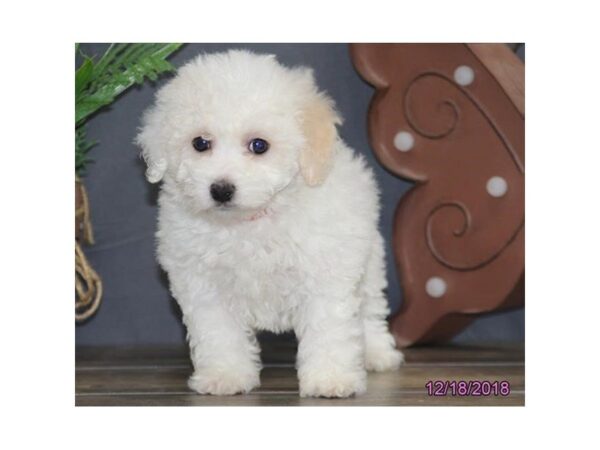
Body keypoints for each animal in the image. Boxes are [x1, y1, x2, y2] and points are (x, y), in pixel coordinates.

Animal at [136, 49, 404, 398]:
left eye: (259, 145)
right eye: (200, 143)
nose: (221, 190)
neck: (249, 221)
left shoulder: (325, 276)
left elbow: (328, 327)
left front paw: (330, 378)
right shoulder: (203, 284)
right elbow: (218, 332)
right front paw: (226, 375)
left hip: (369, 261)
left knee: (370, 311)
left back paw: (377, 354)